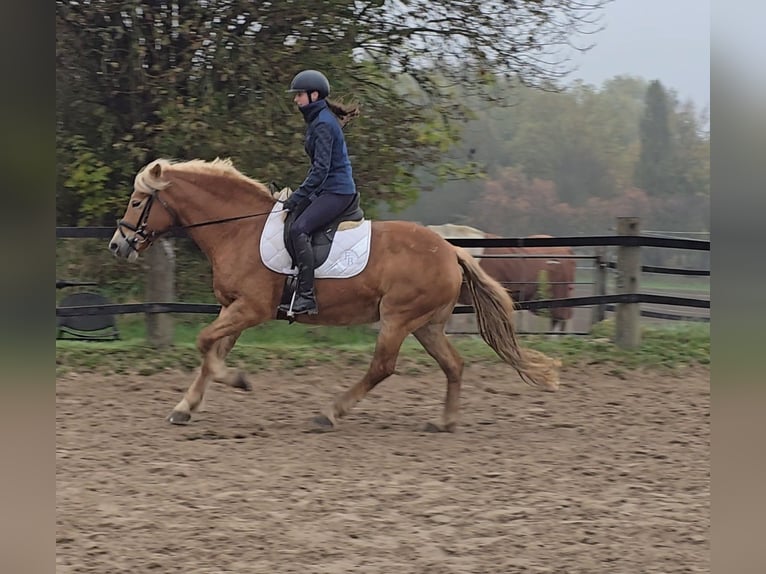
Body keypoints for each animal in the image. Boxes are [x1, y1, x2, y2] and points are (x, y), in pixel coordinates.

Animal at [108, 160, 560, 434]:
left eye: (137, 201)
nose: (118, 245)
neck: (238, 229)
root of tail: (451, 250)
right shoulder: (232, 307)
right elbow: (211, 350)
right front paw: (185, 407)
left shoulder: (251, 309)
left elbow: (206, 344)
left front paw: (238, 381)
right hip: (426, 324)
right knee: (454, 364)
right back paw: (444, 422)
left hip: (397, 318)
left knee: (382, 367)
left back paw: (329, 413)